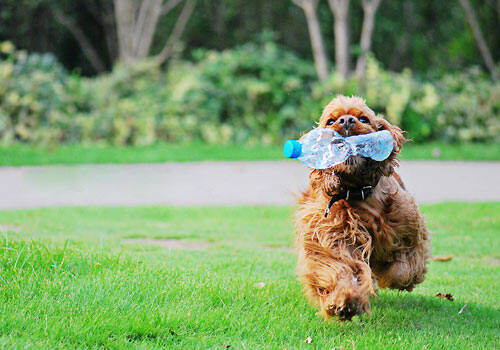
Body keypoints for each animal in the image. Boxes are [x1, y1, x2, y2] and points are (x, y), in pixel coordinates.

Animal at [296, 95, 430, 320]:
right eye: (331, 122)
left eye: (363, 119)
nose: (346, 121)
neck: (357, 192)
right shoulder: (332, 238)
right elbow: (339, 269)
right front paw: (344, 300)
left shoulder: (409, 231)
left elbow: (403, 270)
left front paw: (393, 276)